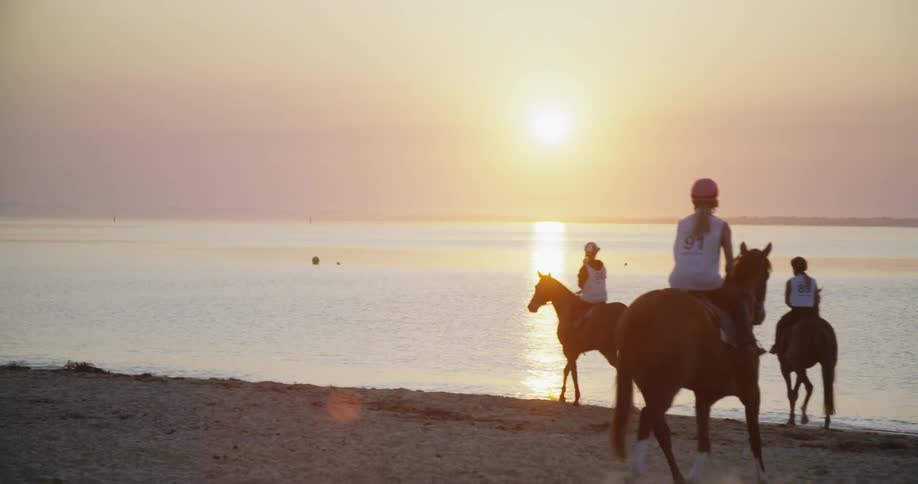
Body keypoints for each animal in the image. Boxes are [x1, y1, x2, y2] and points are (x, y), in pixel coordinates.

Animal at [527, 272, 627, 405]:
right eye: (536, 287)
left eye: (539, 287)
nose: (530, 307)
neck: (568, 310)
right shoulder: (575, 351)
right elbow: (568, 370)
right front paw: (563, 395)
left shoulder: (568, 349)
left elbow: (572, 372)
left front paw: (574, 397)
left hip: (608, 350)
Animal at [611, 242, 772, 483]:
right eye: (767, 274)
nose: (761, 314)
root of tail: (640, 313)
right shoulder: (752, 391)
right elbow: (754, 436)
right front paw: (761, 475)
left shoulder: (703, 397)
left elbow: (704, 440)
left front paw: (698, 474)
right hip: (665, 386)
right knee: (651, 418)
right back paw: (655, 472)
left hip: (648, 385)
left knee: (654, 423)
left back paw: (658, 472)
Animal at [776, 290, 837, 429]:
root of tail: (820, 331)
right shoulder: (800, 368)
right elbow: (795, 391)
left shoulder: (786, 368)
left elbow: (791, 393)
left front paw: (791, 419)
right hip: (827, 364)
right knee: (826, 389)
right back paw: (825, 421)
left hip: (798, 366)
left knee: (809, 387)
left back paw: (804, 416)